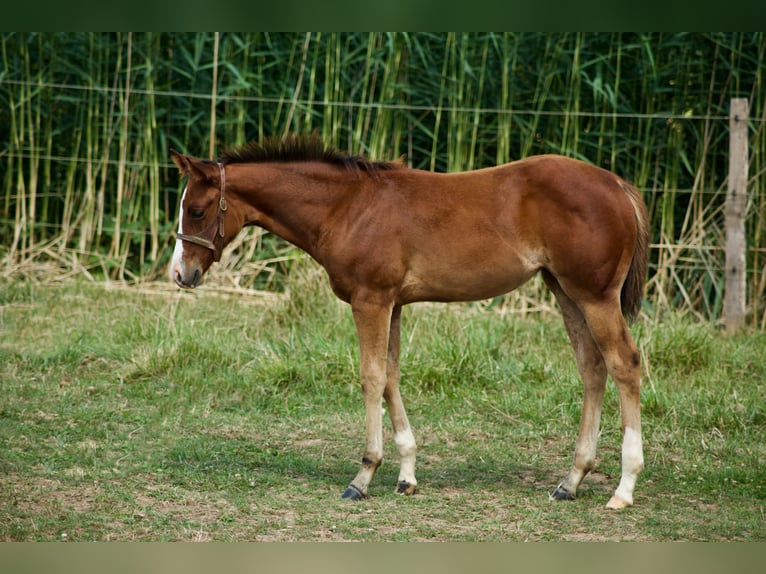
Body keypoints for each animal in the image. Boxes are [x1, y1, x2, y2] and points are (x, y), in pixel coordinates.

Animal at [169, 133, 649, 509]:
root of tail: (617, 184)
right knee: (592, 368)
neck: (347, 207)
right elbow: (391, 376)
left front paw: (362, 477)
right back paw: (571, 480)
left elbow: (370, 376)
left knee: (624, 363)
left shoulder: (371, 301)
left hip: (594, 295)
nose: (180, 274)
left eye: (197, 210)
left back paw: (623, 489)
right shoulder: (393, 304)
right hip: (565, 291)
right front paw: (406, 475)